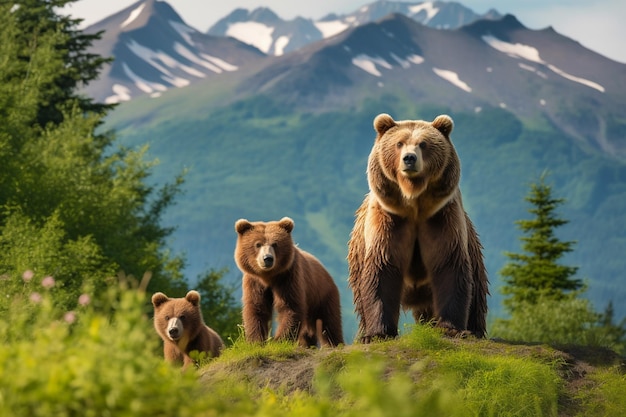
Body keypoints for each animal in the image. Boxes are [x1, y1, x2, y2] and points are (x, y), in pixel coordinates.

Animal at [234, 216, 344, 346]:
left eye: (275, 244)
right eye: (258, 244)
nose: (267, 258)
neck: (268, 277)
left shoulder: (288, 277)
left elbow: (290, 306)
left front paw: (279, 341)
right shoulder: (254, 281)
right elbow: (257, 308)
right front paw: (256, 341)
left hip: (322, 294)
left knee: (328, 323)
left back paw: (335, 343)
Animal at [346, 113, 488, 342]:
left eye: (423, 143)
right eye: (399, 143)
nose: (409, 158)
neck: (414, 202)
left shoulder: (441, 217)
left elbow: (449, 265)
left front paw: (451, 328)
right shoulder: (389, 220)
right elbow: (381, 269)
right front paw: (378, 333)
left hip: (473, 254)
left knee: (475, 296)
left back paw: (473, 329)